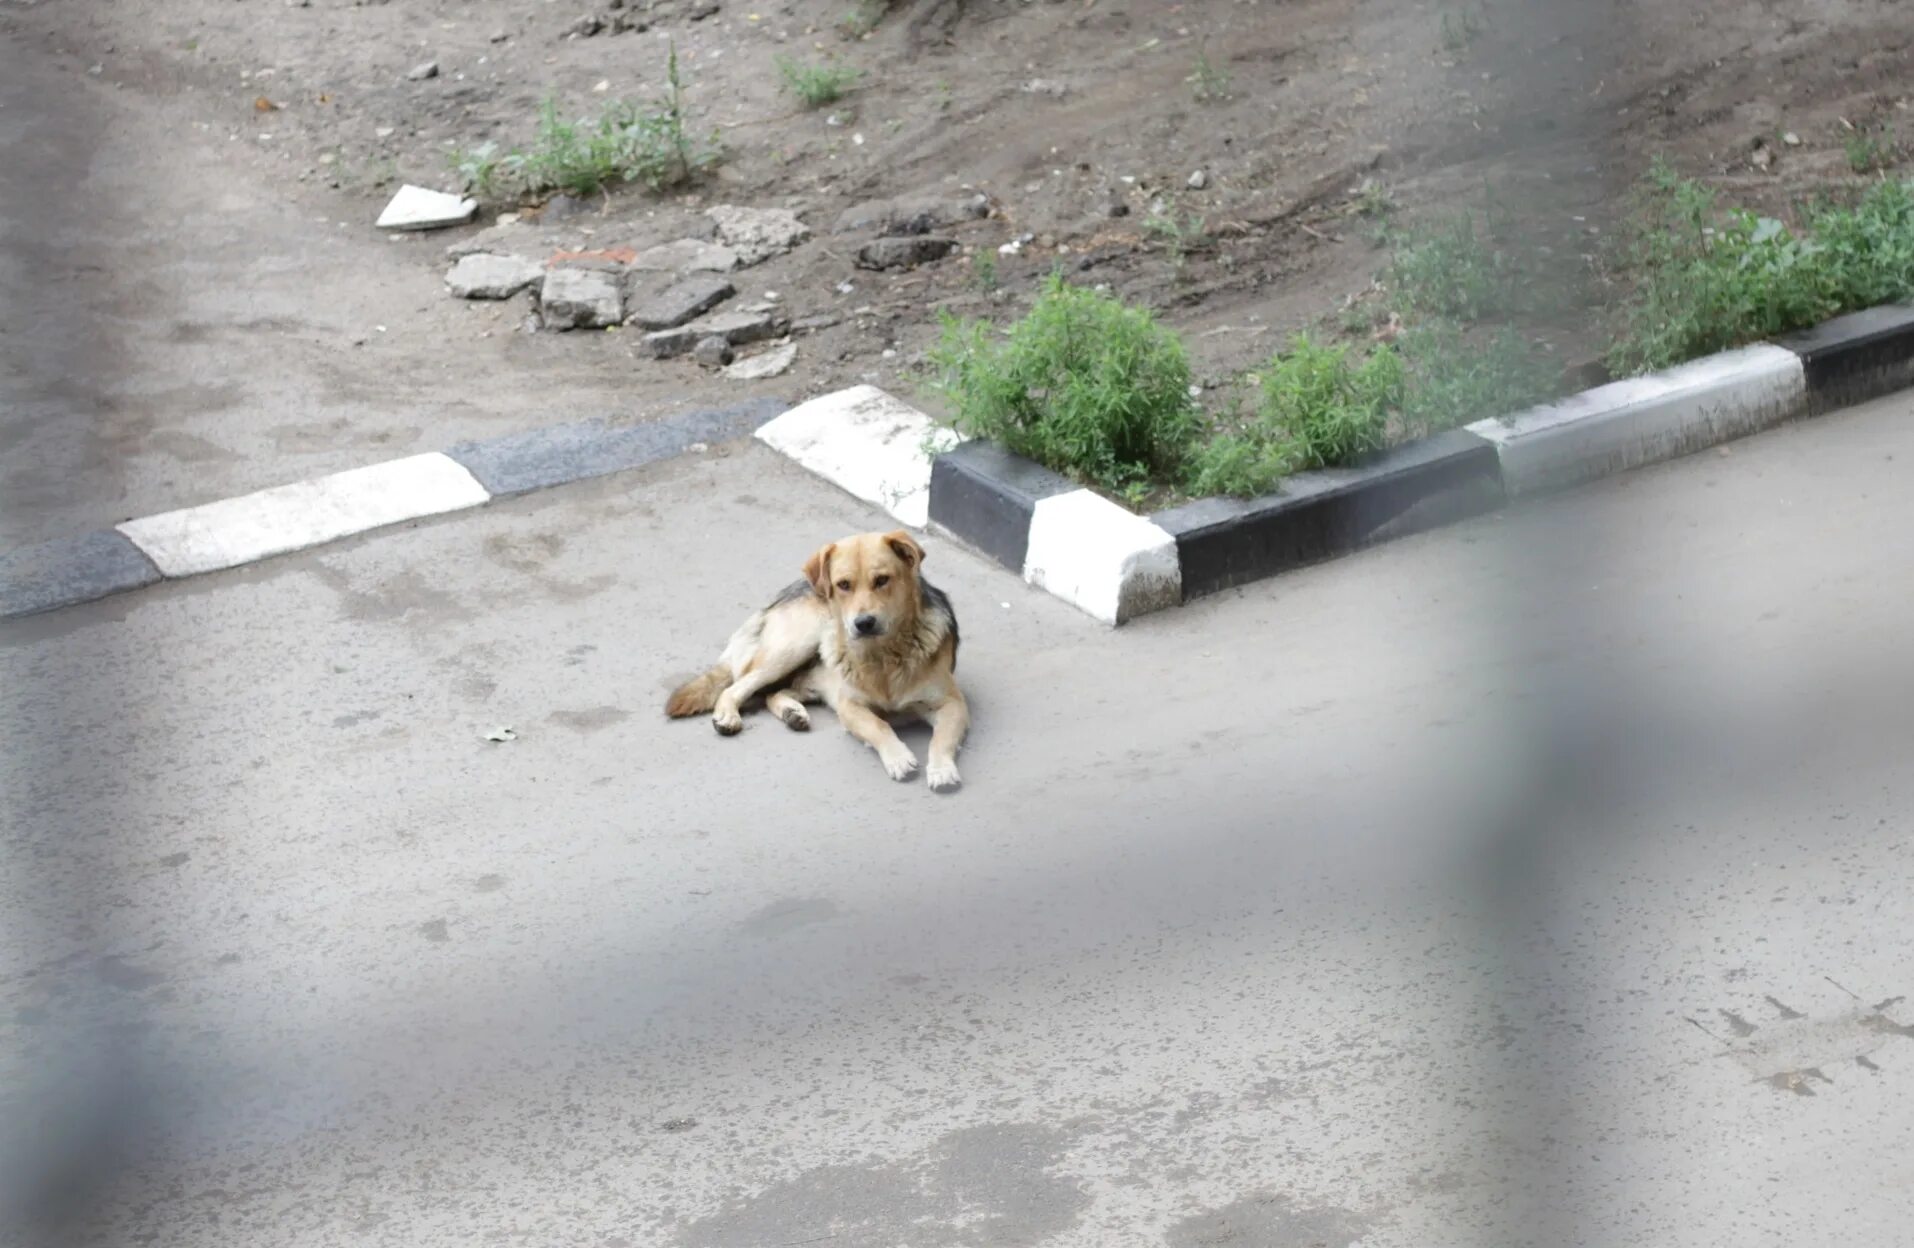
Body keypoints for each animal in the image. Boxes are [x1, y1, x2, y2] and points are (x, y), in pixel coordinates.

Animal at [669, 528, 972, 788]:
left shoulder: (952, 704)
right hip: (795, 645)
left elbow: (941, 739)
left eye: (882, 580)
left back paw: (792, 712)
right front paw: (897, 756)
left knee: (774, 693)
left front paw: (942, 769)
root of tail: (792, 588)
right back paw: (729, 715)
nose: (864, 623)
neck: (884, 655)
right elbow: (879, 725)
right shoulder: (850, 706)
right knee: (737, 686)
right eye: (844, 585)